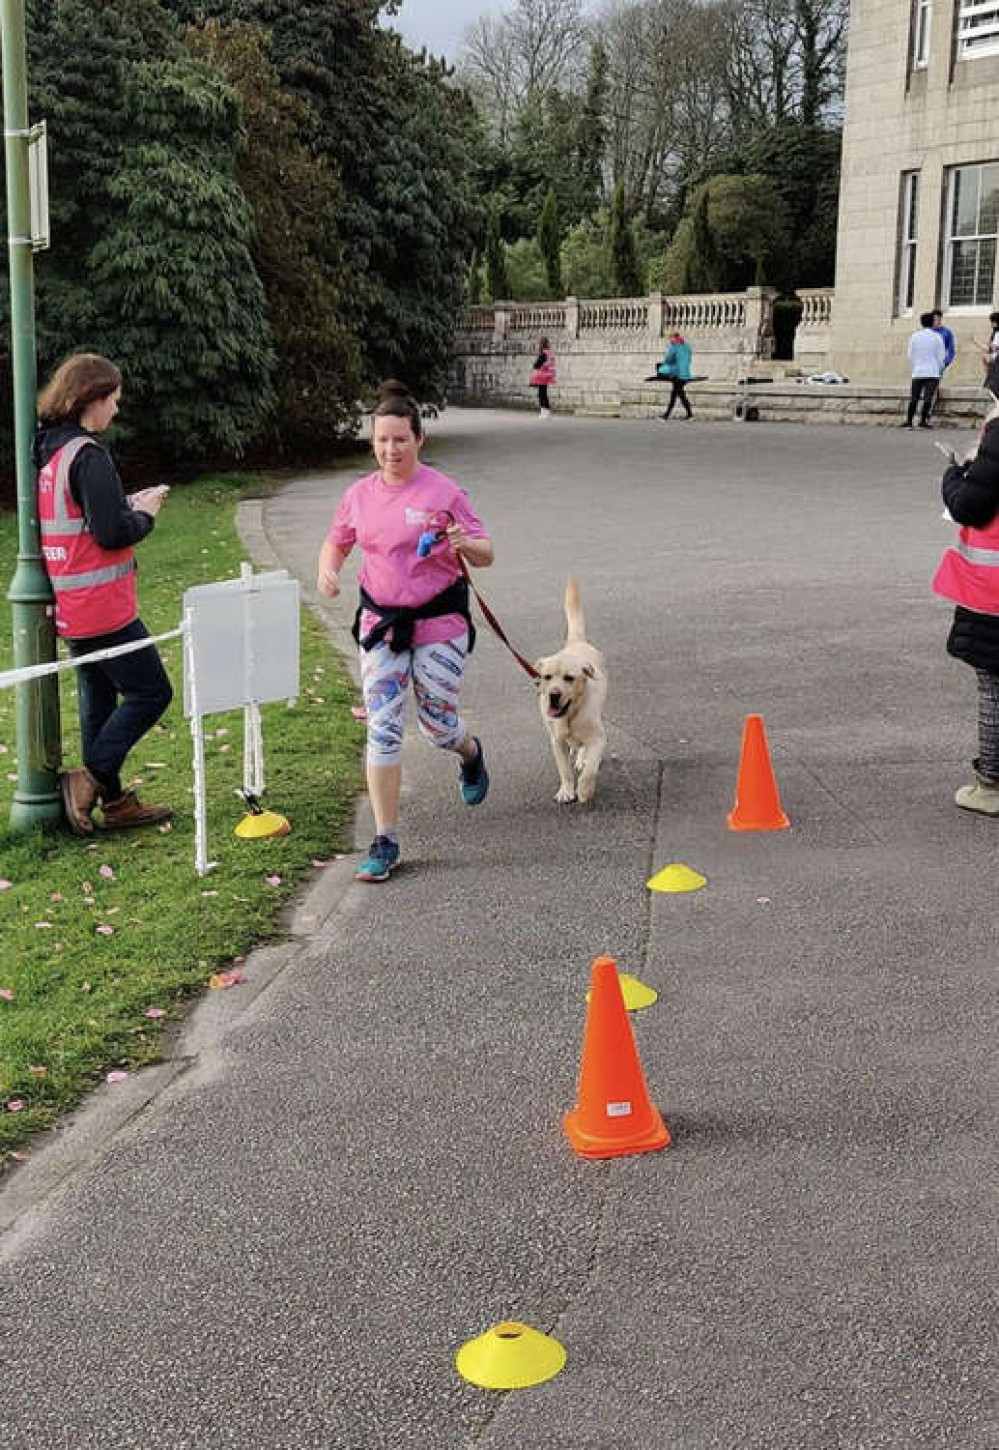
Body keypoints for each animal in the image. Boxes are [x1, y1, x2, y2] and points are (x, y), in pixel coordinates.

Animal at [533, 574, 603, 806]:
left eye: (569, 678)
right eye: (547, 677)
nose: (554, 695)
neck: (570, 715)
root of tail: (576, 642)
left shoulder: (599, 738)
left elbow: (590, 769)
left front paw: (584, 790)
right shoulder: (556, 742)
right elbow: (564, 769)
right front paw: (566, 790)